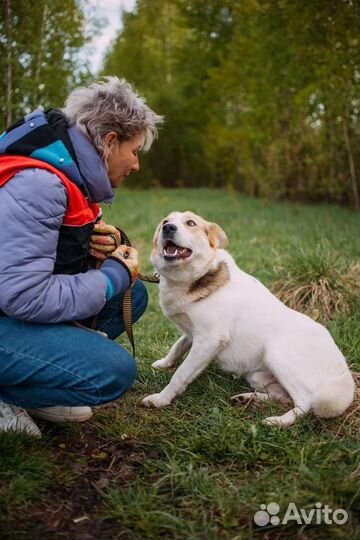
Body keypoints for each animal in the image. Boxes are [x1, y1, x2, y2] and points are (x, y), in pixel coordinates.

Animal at [141, 211, 354, 426]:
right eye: (165, 222)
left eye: (191, 223)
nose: (168, 228)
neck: (195, 276)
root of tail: (343, 372)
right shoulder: (192, 333)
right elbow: (177, 347)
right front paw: (164, 363)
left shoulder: (209, 340)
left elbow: (181, 374)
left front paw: (161, 399)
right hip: (258, 377)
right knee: (282, 397)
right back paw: (246, 398)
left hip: (276, 354)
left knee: (305, 402)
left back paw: (278, 421)